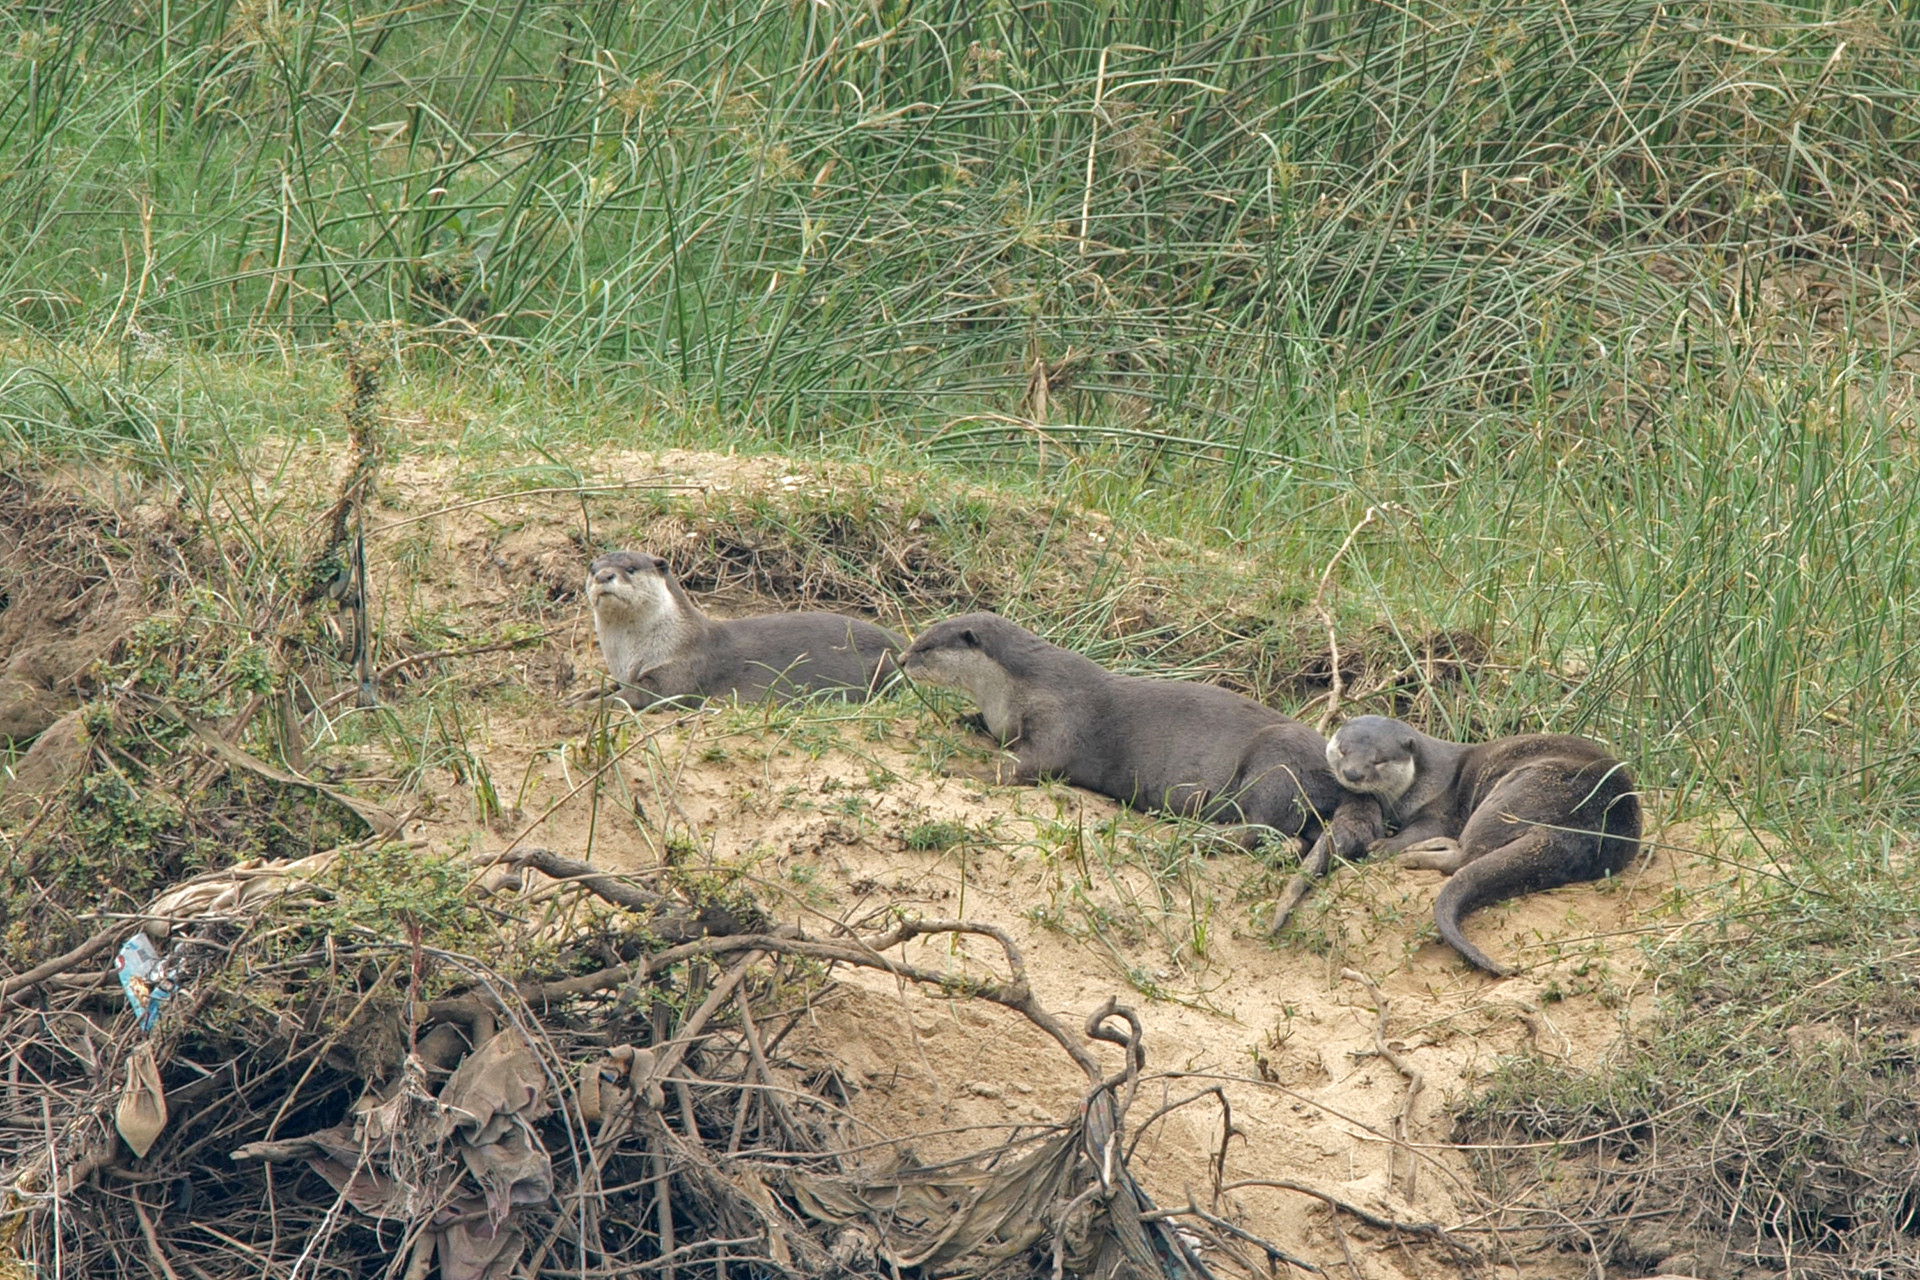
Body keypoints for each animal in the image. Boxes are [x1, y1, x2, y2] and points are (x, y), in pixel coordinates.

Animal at [585, 551, 902, 706]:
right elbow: (611, 687)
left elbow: (635, 697)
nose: (604, 575)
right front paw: (583, 696)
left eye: (631, 568)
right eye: (592, 568)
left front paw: (584, 707)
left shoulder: (679, 672)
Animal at [900, 613, 1383, 856]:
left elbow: (1029, 764)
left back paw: (1196, 832)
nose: (902, 659)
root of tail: (1337, 772)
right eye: (918, 636)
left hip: (1277, 761)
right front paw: (964, 720)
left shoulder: (1060, 716)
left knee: (1260, 827)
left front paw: (965, 770)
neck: (1012, 690)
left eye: (926, 646)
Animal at [1325, 715, 1642, 977]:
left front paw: (1384, 847)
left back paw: (1412, 856)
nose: (1352, 773)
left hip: (1516, 792)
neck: (1421, 781)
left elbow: (1421, 829)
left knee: (1465, 856)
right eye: (1343, 751)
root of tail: (1586, 827)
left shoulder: (1441, 807)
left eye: (1378, 760)